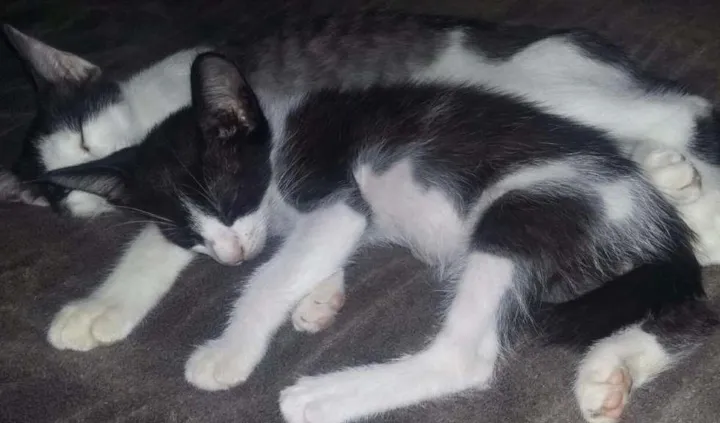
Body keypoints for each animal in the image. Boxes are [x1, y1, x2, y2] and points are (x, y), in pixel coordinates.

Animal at [45, 52, 718, 423]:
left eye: (224, 198)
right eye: (185, 231)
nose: (228, 254)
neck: (277, 139)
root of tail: (648, 210)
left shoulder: (336, 195)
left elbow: (272, 274)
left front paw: (230, 350)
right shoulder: (329, 217)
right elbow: (301, 257)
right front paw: (319, 295)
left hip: (523, 209)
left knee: (464, 357)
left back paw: (323, 396)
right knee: (688, 312)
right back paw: (611, 371)